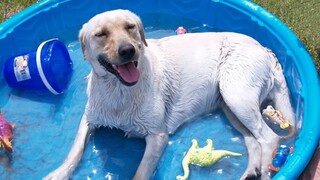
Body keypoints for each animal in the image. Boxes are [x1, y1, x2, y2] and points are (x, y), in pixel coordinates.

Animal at [45, 9, 296, 180]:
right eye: (101, 34)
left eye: (130, 27)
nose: (127, 50)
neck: (119, 91)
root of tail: (265, 48)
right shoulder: (90, 119)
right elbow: (75, 150)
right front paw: (58, 173)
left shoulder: (157, 136)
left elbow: (141, 172)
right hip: (231, 106)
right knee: (253, 140)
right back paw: (250, 171)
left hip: (237, 96)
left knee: (268, 138)